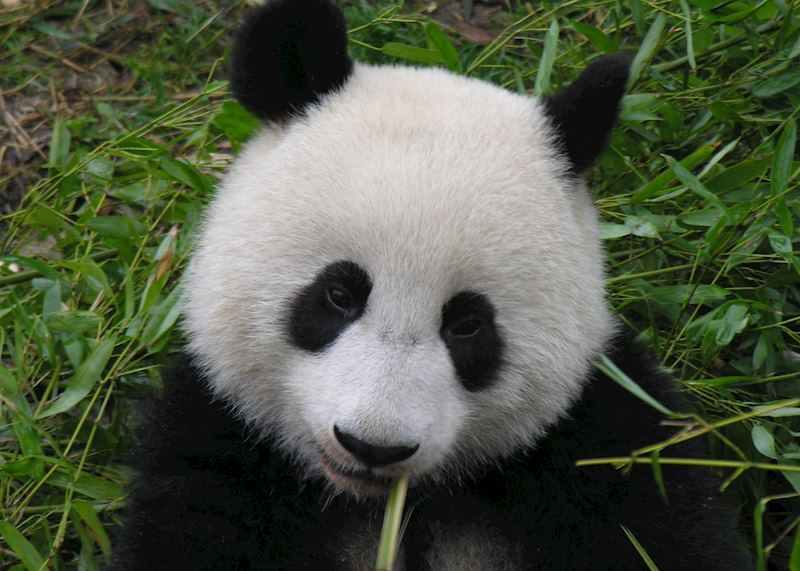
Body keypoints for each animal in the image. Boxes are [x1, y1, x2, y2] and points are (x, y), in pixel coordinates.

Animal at [111, 1, 753, 569]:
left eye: (467, 324)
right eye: (339, 295)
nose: (372, 445)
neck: (386, 504)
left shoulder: (608, 445)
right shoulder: (219, 448)